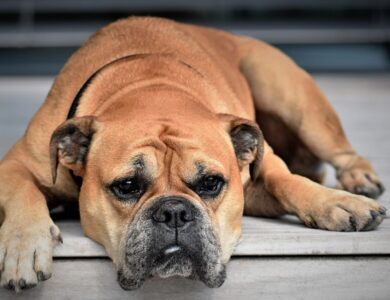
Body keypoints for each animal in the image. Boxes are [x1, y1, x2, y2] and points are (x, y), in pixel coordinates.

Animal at [0, 16, 386, 290]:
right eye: (127, 186)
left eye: (212, 183)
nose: (174, 212)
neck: (151, 87)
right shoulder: (15, 164)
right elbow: (23, 191)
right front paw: (23, 246)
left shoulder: (261, 175)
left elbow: (287, 181)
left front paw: (336, 203)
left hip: (291, 95)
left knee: (338, 151)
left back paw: (358, 179)